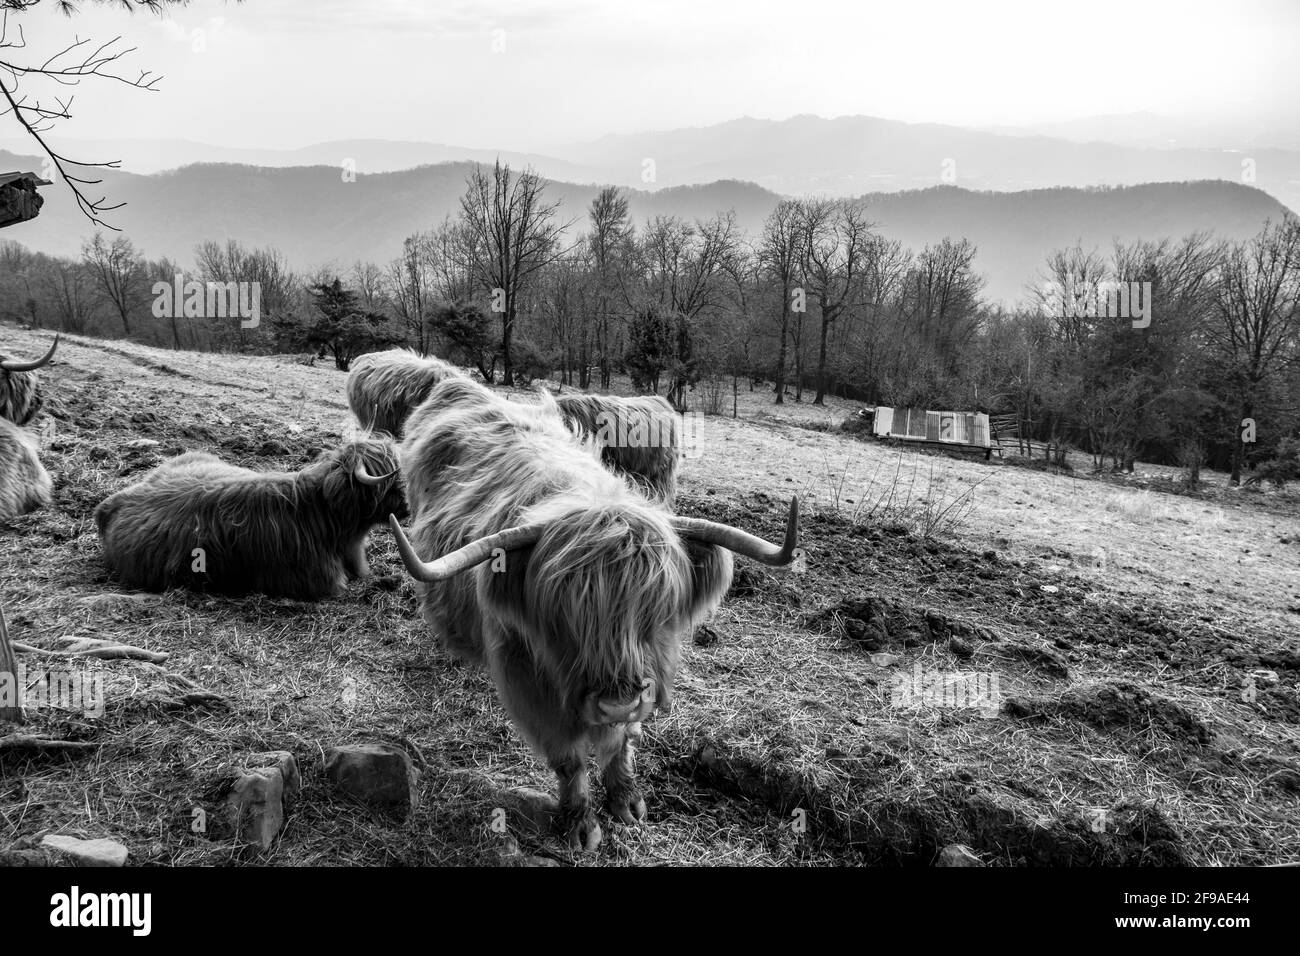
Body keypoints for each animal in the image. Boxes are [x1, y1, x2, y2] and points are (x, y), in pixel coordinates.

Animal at [387, 366, 800, 853]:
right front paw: (581, 823)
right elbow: (569, 760)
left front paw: (627, 801)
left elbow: (622, 745)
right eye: (564, 618)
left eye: (657, 612)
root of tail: (456, 385)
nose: (617, 702)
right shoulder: (533, 692)